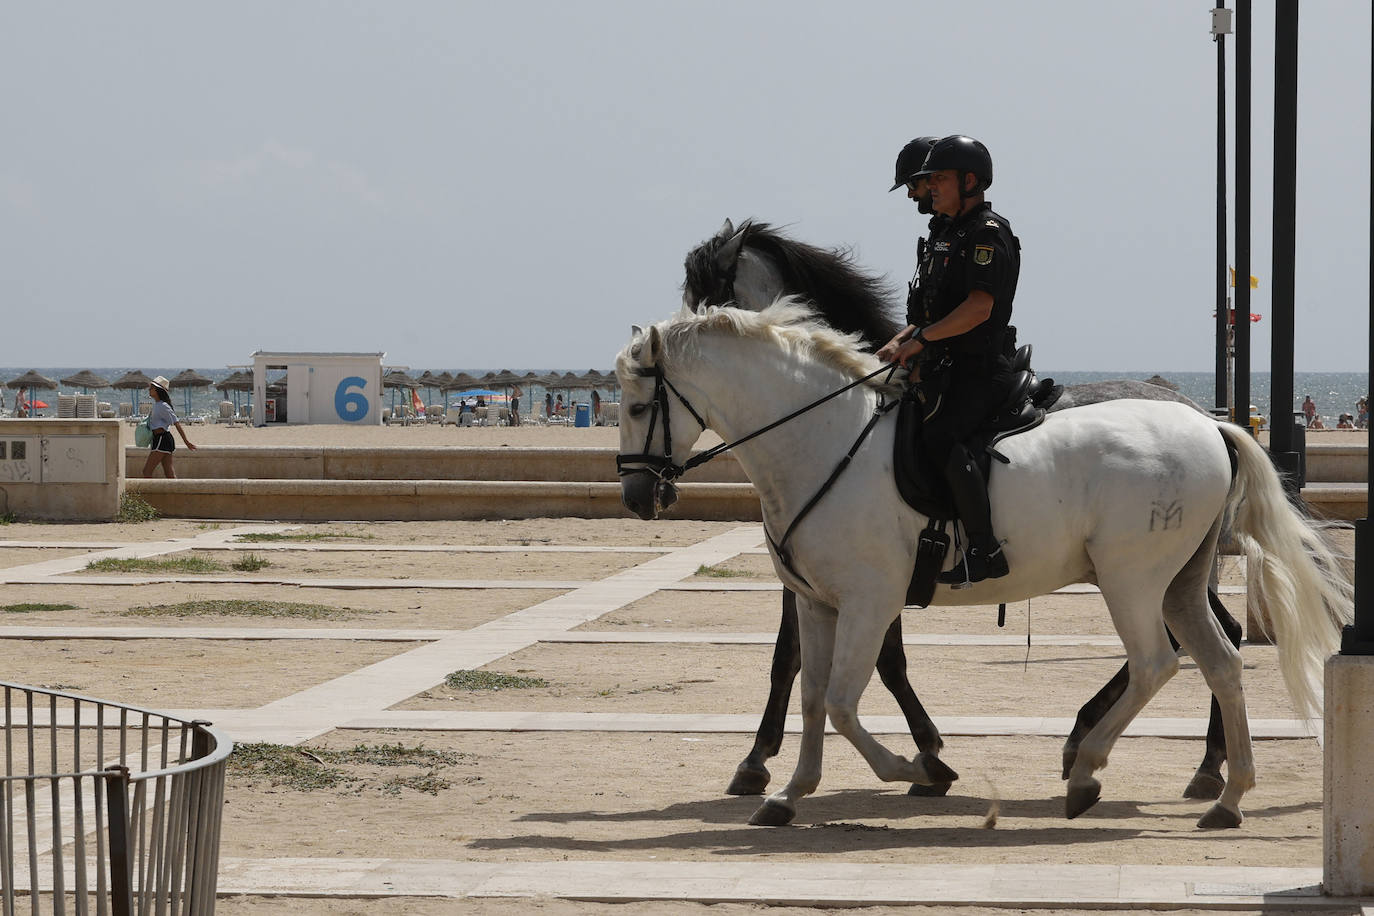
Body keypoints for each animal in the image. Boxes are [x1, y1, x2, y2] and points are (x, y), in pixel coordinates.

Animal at [621, 300, 1352, 829]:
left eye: (635, 404)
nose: (635, 494)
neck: (823, 439)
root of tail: (1210, 424)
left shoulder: (869, 600)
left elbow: (843, 703)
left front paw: (918, 770)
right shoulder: (818, 601)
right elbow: (811, 697)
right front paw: (790, 793)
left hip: (1131, 580)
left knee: (1156, 664)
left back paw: (1087, 770)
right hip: (1178, 582)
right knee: (1220, 662)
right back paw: (1227, 797)